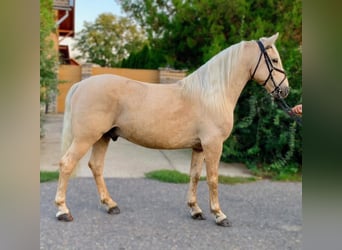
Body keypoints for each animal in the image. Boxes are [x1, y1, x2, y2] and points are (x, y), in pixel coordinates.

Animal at [55, 32, 288, 227]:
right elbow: (213, 178)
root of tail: (81, 85)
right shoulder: (213, 144)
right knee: (67, 164)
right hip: (86, 138)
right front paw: (219, 215)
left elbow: (195, 176)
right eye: (275, 60)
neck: (212, 94)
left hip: (102, 137)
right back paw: (63, 211)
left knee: (96, 166)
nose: (285, 90)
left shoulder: (199, 147)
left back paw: (110, 205)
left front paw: (195, 210)